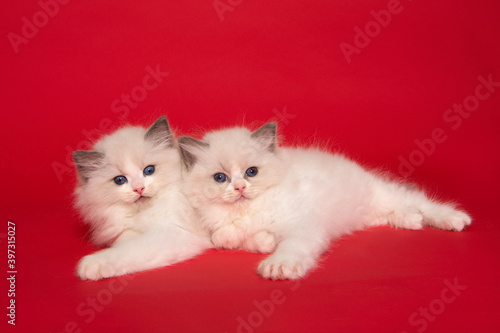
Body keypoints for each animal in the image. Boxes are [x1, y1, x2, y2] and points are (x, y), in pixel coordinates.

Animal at [72, 116, 211, 280]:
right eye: (120, 180)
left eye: (149, 170)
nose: (138, 189)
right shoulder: (125, 233)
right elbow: (125, 246)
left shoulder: (174, 233)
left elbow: (128, 251)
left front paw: (91, 265)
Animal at [180, 123, 472, 278]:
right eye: (220, 178)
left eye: (252, 172)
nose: (240, 187)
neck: (247, 211)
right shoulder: (221, 233)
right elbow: (234, 239)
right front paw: (265, 242)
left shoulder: (303, 227)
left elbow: (290, 246)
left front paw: (278, 267)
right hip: (370, 212)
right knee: (395, 211)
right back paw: (412, 220)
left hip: (383, 193)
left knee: (419, 200)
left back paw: (455, 219)